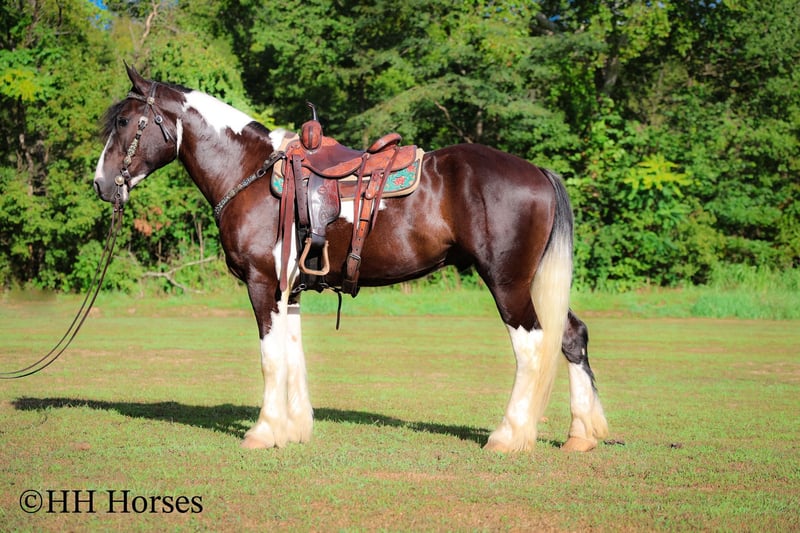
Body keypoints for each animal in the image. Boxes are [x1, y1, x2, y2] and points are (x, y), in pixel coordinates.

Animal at [93, 65, 608, 453]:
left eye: (124, 123)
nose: (99, 183)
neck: (249, 173)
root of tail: (536, 170)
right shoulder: (290, 289)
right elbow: (293, 355)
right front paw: (295, 428)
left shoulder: (262, 284)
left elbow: (270, 359)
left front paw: (264, 431)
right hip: (531, 280)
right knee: (572, 336)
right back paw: (582, 434)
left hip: (506, 282)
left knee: (533, 346)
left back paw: (508, 434)